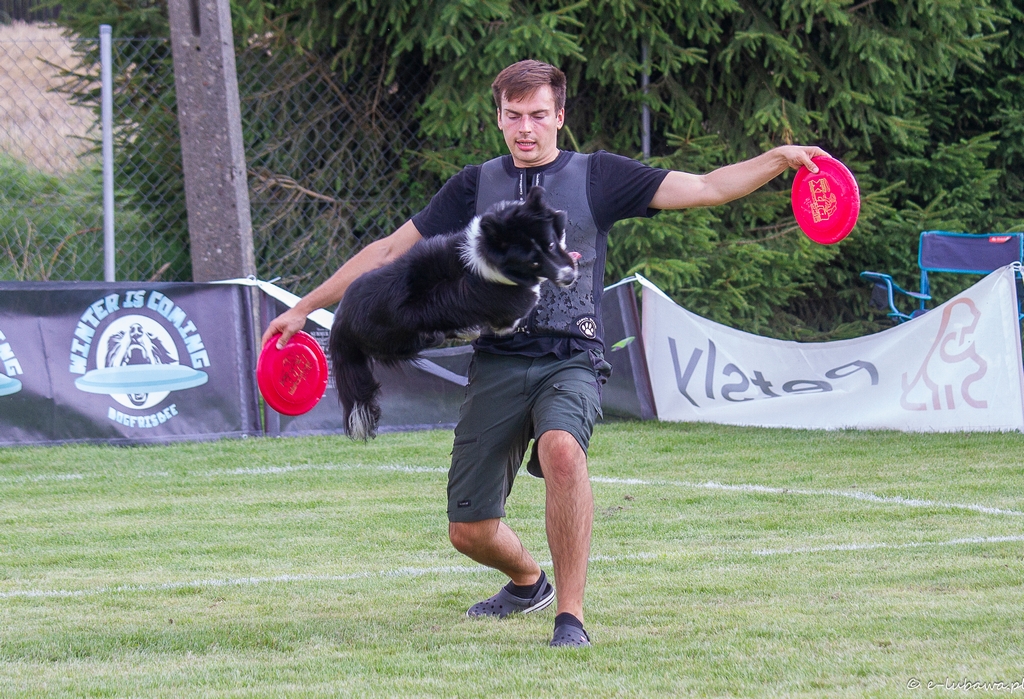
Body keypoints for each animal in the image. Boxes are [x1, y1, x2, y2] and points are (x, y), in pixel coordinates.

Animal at [329, 186, 578, 440]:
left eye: (550, 245)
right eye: (533, 263)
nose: (569, 277)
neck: (484, 253)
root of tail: (340, 321)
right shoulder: (510, 308)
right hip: (399, 338)